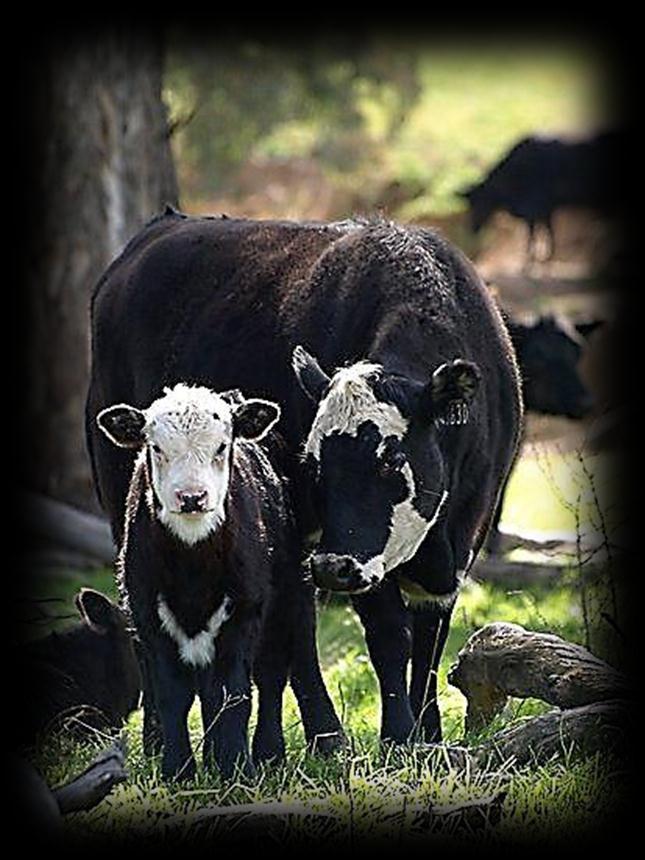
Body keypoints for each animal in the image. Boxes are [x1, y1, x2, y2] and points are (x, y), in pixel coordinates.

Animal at [97, 384, 340, 780]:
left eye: (222, 446)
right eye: (156, 448)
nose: (192, 497)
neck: (193, 568)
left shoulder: (245, 608)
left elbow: (234, 692)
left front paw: (237, 769)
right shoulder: (148, 612)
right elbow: (174, 695)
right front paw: (178, 771)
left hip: (289, 596)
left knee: (273, 673)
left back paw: (269, 753)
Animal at [458, 129, 620, 260]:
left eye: (482, 201)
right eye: (470, 204)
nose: (473, 228)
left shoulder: (535, 208)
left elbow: (534, 235)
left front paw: (532, 261)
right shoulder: (544, 210)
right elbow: (547, 232)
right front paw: (545, 258)